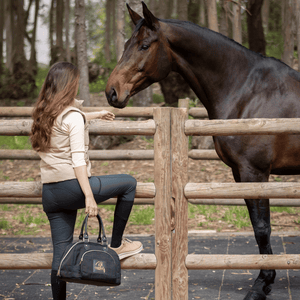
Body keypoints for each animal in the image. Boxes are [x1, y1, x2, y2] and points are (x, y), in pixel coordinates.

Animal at [106, 2, 300, 300]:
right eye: (127, 43)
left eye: (144, 45)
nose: (112, 91)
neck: (248, 90)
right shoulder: (240, 174)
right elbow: (258, 227)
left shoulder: (255, 173)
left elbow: (262, 229)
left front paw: (261, 285)